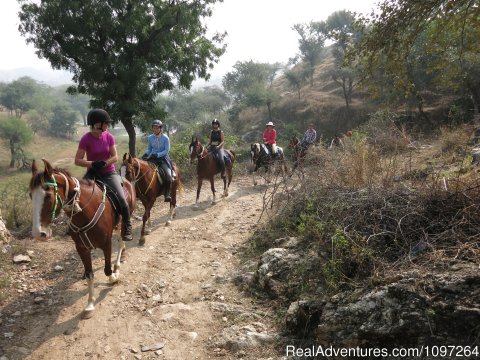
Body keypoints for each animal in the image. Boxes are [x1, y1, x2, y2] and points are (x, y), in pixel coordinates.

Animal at [29, 159, 135, 320]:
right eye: (30, 195)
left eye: (48, 196)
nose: (37, 233)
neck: (85, 211)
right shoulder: (81, 248)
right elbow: (90, 274)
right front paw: (90, 305)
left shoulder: (106, 243)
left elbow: (107, 270)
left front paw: (114, 277)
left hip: (123, 220)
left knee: (121, 239)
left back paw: (118, 264)